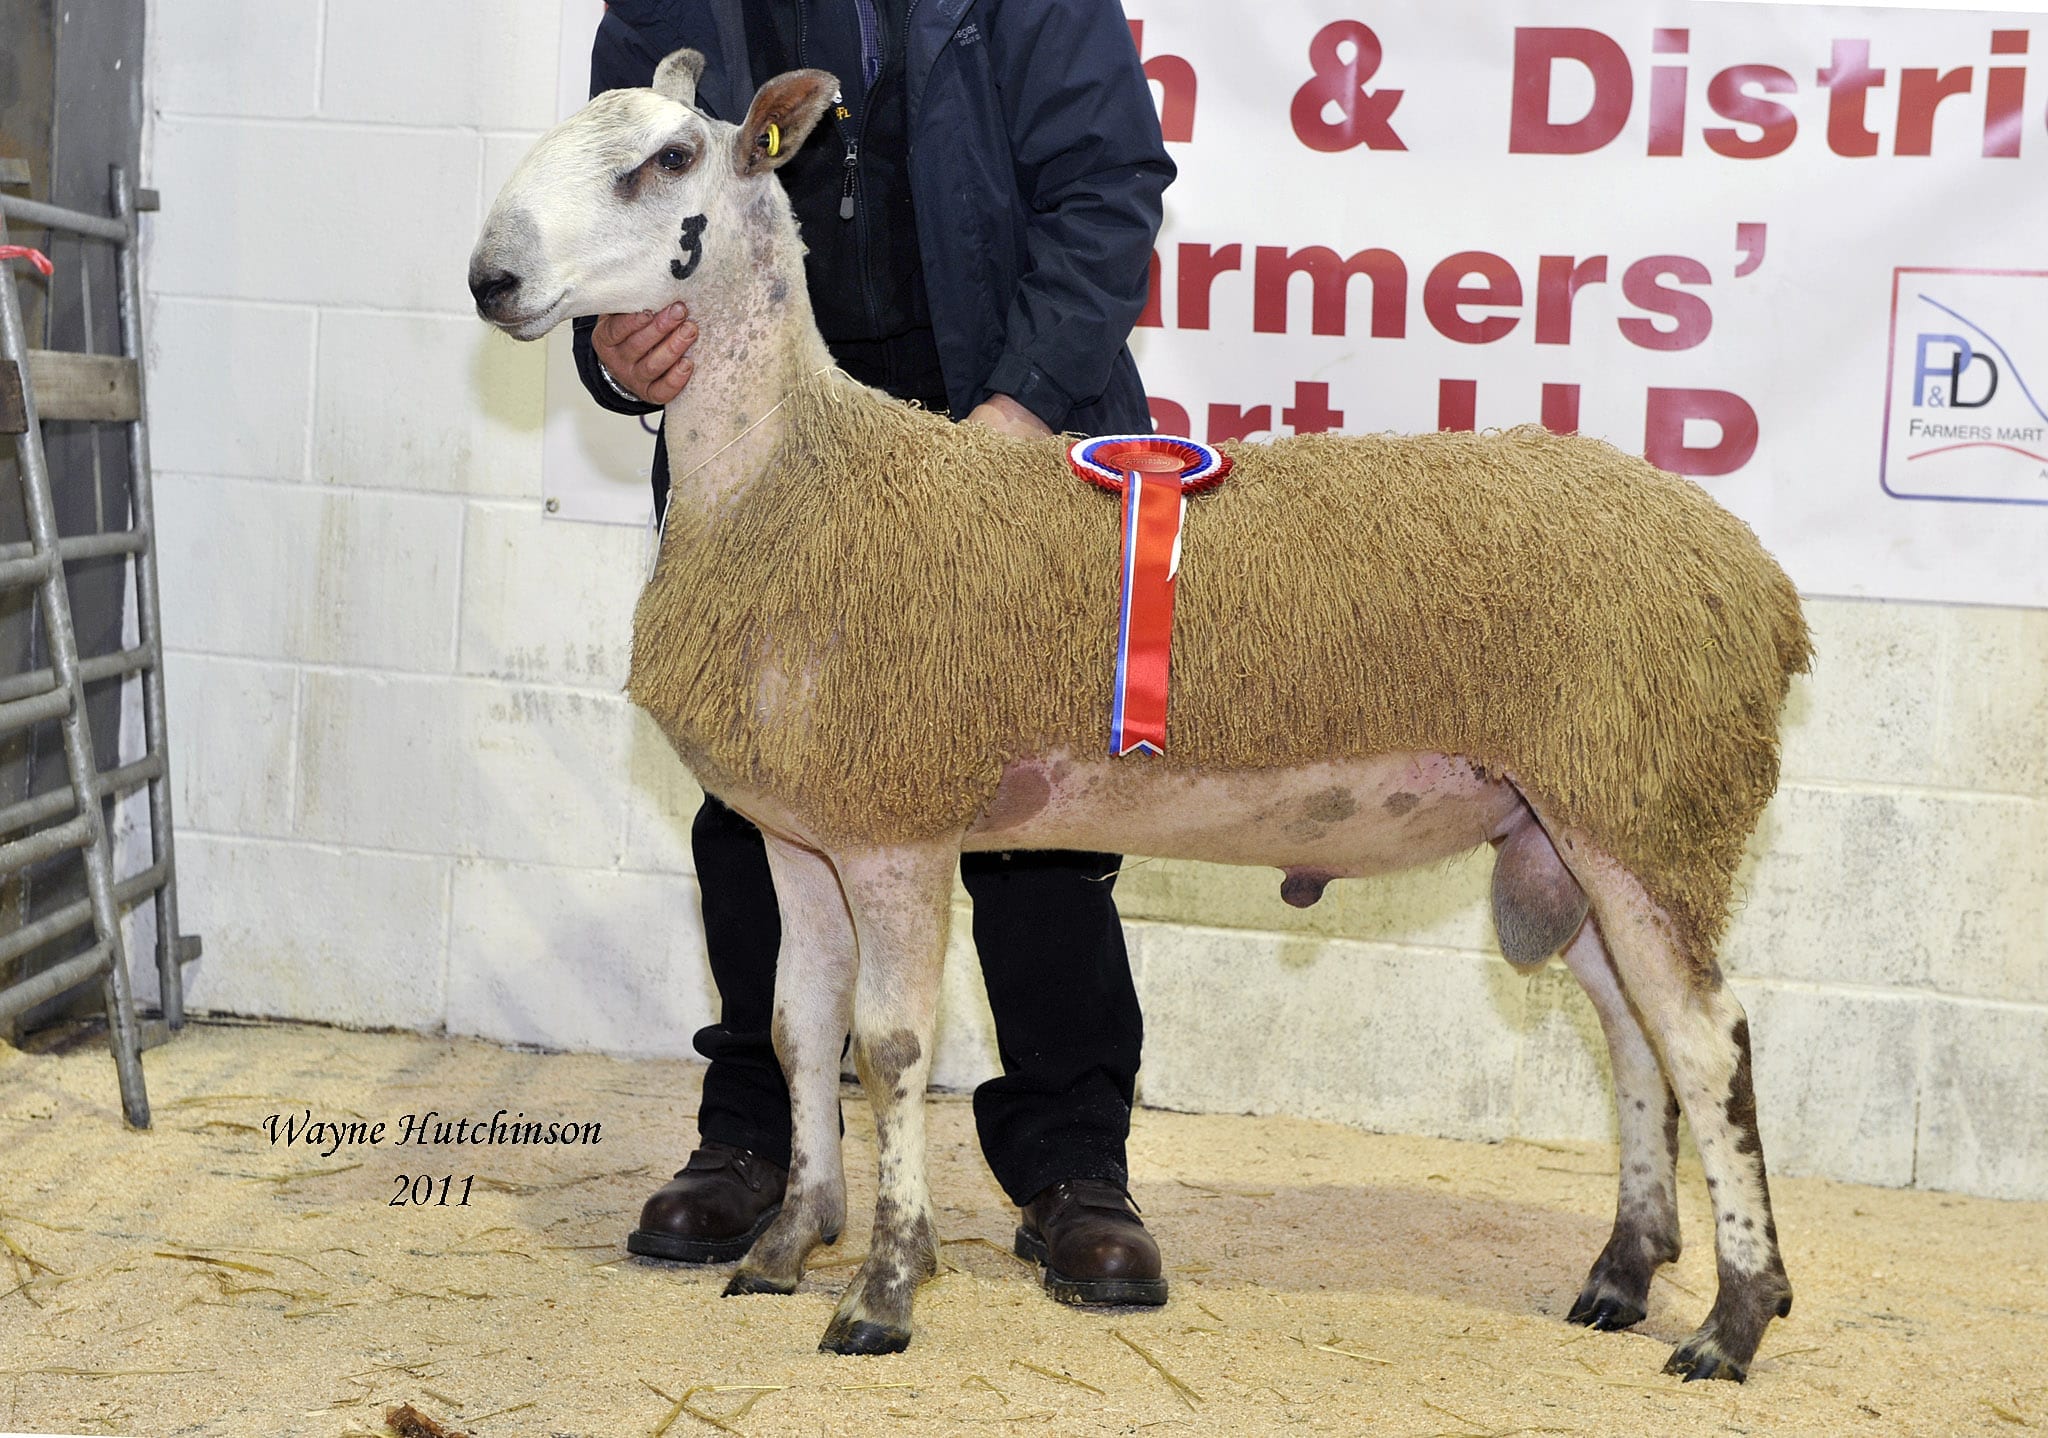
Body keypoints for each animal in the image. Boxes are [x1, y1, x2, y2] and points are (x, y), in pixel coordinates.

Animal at [475, 53, 1810, 1384]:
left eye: (668, 161)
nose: (491, 279)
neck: (794, 476)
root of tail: (1753, 577)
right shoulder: (802, 830)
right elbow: (800, 1031)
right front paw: (784, 1244)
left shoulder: (899, 826)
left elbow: (890, 1049)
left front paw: (883, 1291)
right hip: (1571, 826)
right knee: (1635, 1039)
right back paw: (1622, 1273)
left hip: (1646, 809)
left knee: (1711, 1043)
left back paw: (1731, 1319)